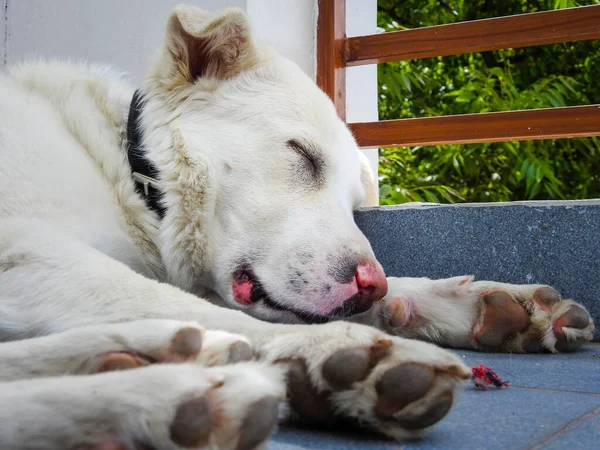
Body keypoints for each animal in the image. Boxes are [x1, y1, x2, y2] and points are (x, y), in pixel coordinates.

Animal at [0, 4, 592, 450]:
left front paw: (489, 306)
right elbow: (188, 302)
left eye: (353, 205)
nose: (368, 286)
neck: (138, 176)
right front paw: (331, 349)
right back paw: (166, 392)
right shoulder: (25, 247)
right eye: (302, 156)